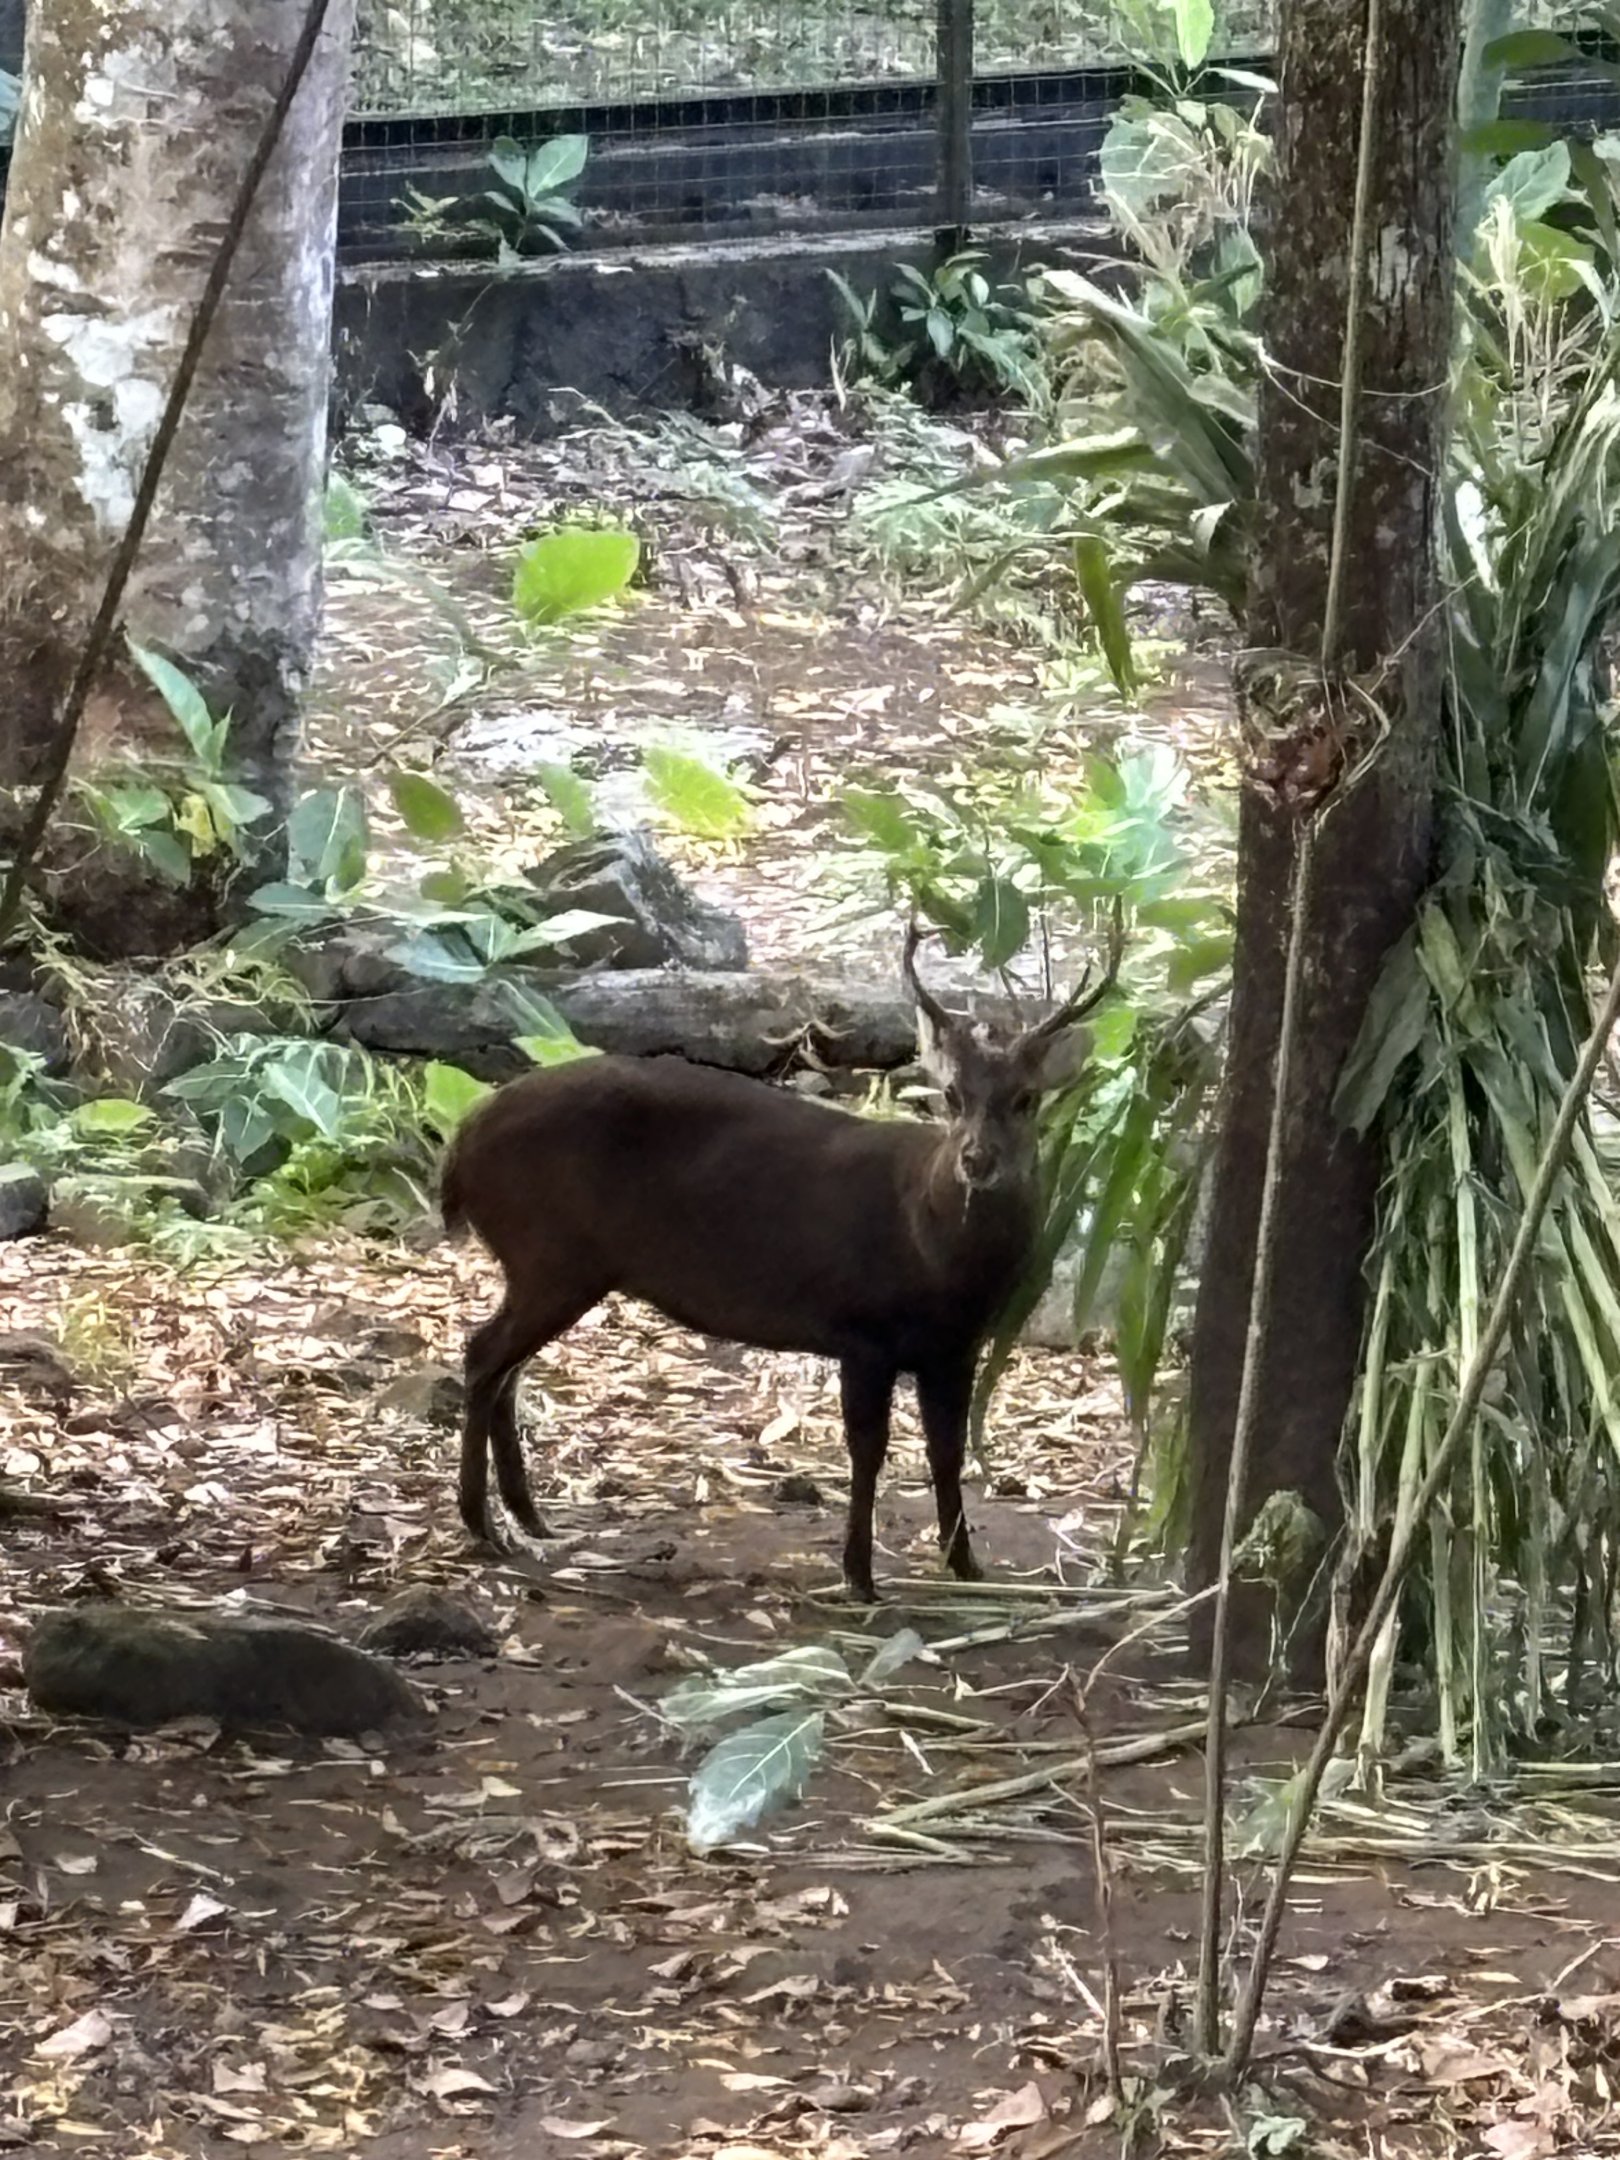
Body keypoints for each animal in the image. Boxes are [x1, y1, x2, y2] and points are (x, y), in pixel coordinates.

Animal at [440, 911, 1123, 1599]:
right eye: (952, 1094)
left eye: (1026, 1098)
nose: (976, 1160)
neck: (936, 1255)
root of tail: (462, 1140)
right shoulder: (864, 1332)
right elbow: (868, 1450)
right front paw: (859, 1575)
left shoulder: (956, 1348)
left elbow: (947, 1452)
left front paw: (966, 1566)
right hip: (549, 1252)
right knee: (484, 1354)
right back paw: (482, 1523)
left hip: (549, 1264)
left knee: (506, 1368)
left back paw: (527, 1516)